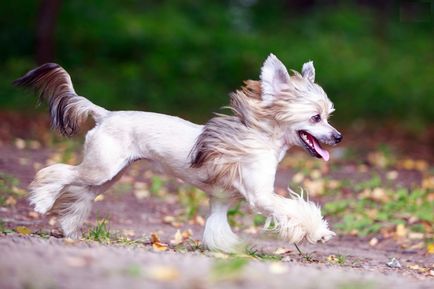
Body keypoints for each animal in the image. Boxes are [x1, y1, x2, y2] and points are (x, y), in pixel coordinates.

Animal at [15, 54, 342, 252]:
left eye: (328, 116)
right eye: (316, 118)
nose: (337, 137)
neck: (259, 136)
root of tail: (105, 114)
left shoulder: (220, 199)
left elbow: (216, 226)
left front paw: (225, 249)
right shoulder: (260, 196)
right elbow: (295, 209)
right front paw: (318, 231)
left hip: (109, 174)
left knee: (81, 192)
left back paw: (69, 228)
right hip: (101, 168)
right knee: (58, 173)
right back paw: (42, 200)